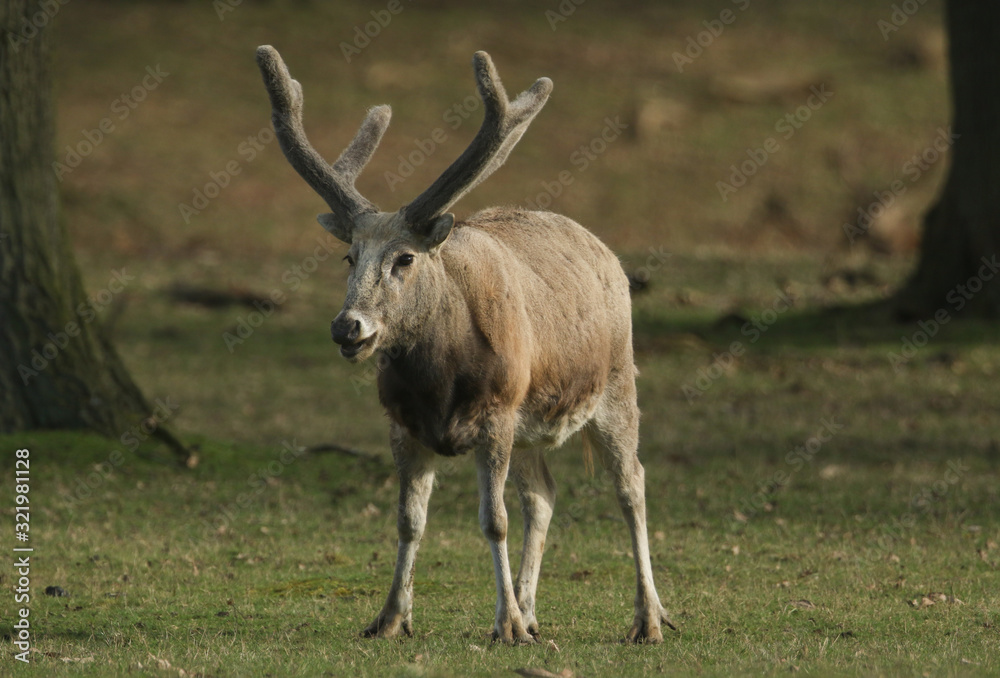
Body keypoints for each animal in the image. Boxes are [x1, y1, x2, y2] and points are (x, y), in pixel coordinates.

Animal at [256, 45, 675, 644]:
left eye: (405, 258)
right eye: (348, 256)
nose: (347, 328)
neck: (441, 380)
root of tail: (602, 249)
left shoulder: (497, 411)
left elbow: (493, 521)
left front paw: (506, 626)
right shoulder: (402, 423)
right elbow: (409, 520)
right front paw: (390, 618)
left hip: (616, 384)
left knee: (631, 484)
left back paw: (648, 619)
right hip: (531, 423)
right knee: (543, 494)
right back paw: (532, 609)